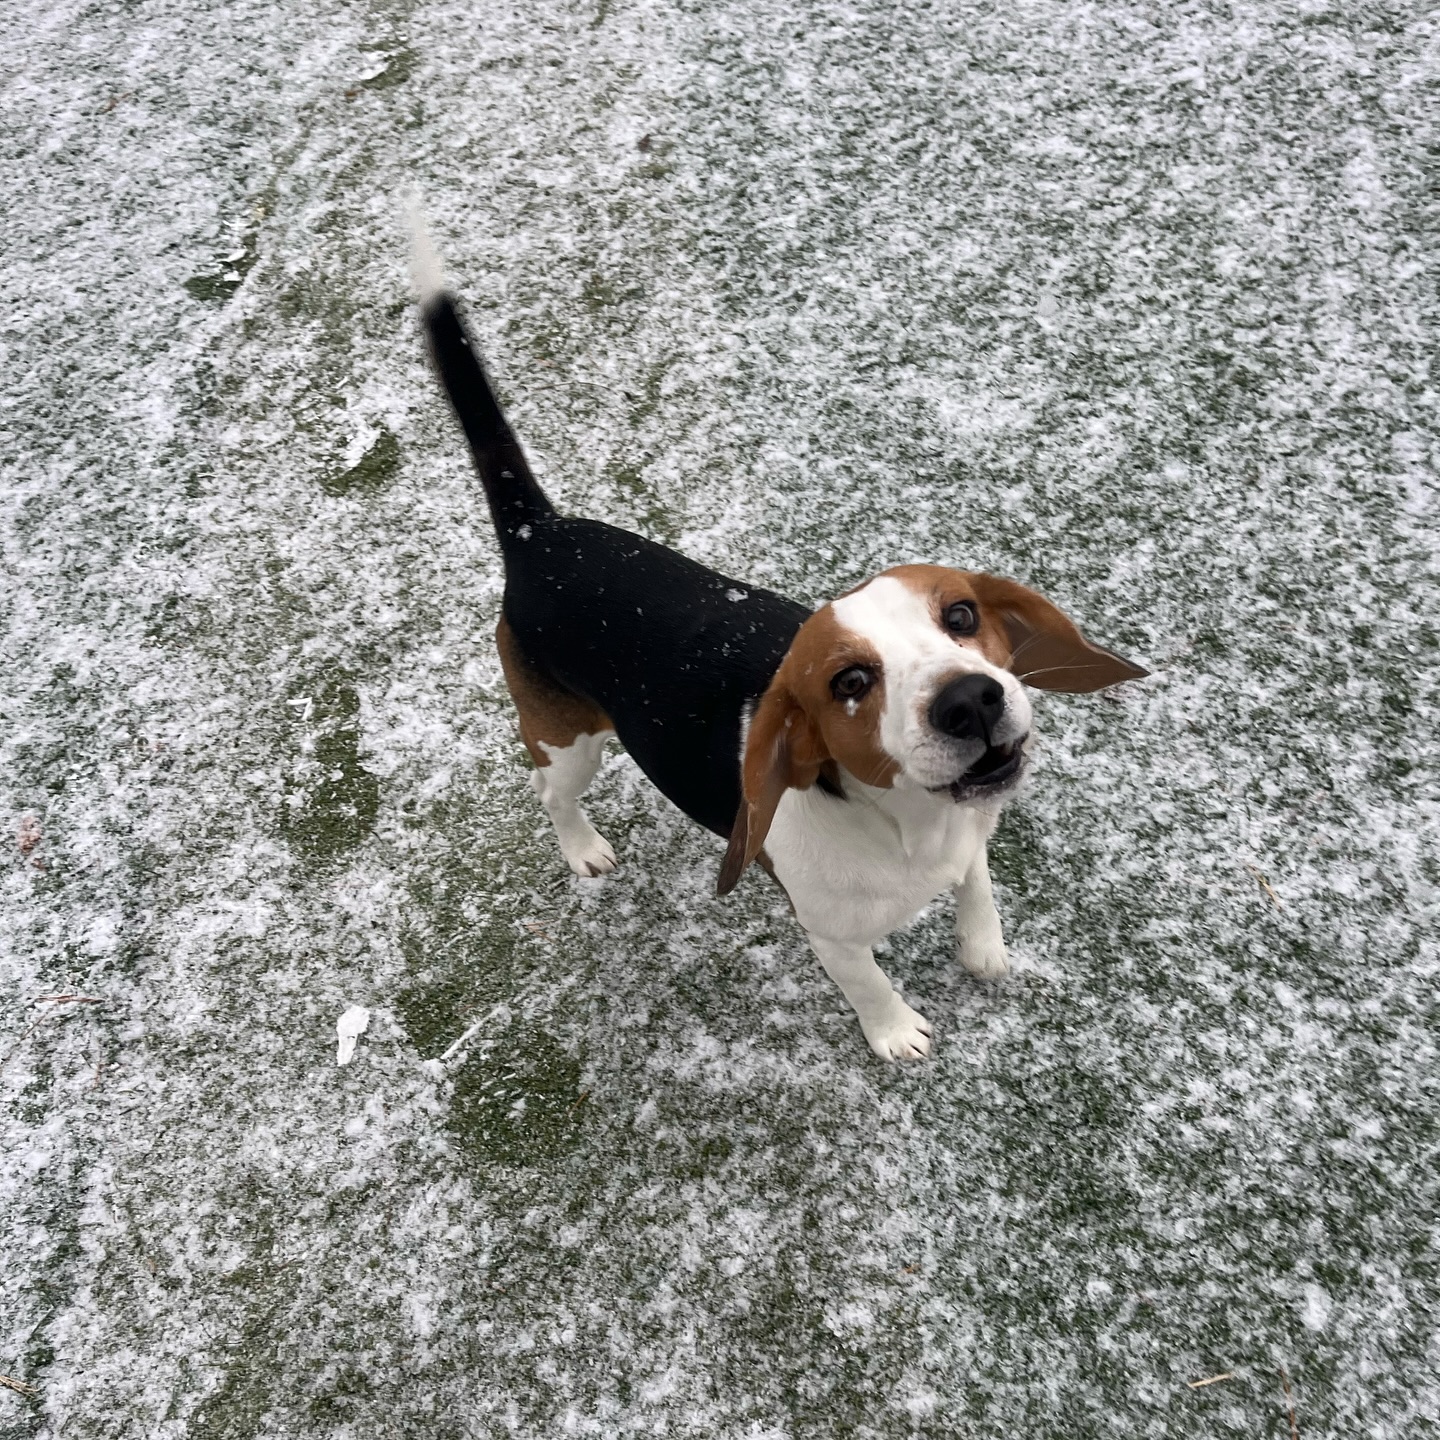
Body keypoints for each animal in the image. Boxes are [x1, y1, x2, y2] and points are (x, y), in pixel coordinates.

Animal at [413, 231, 1146, 1060]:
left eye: (961, 614)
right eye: (849, 682)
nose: (971, 701)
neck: (909, 827)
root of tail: (539, 532)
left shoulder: (971, 838)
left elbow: (978, 886)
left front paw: (984, 949)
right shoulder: (832, 935)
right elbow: (869, 984)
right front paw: (896, 1033)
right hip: (567, 741)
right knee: (551, 792)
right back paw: (581, 847)